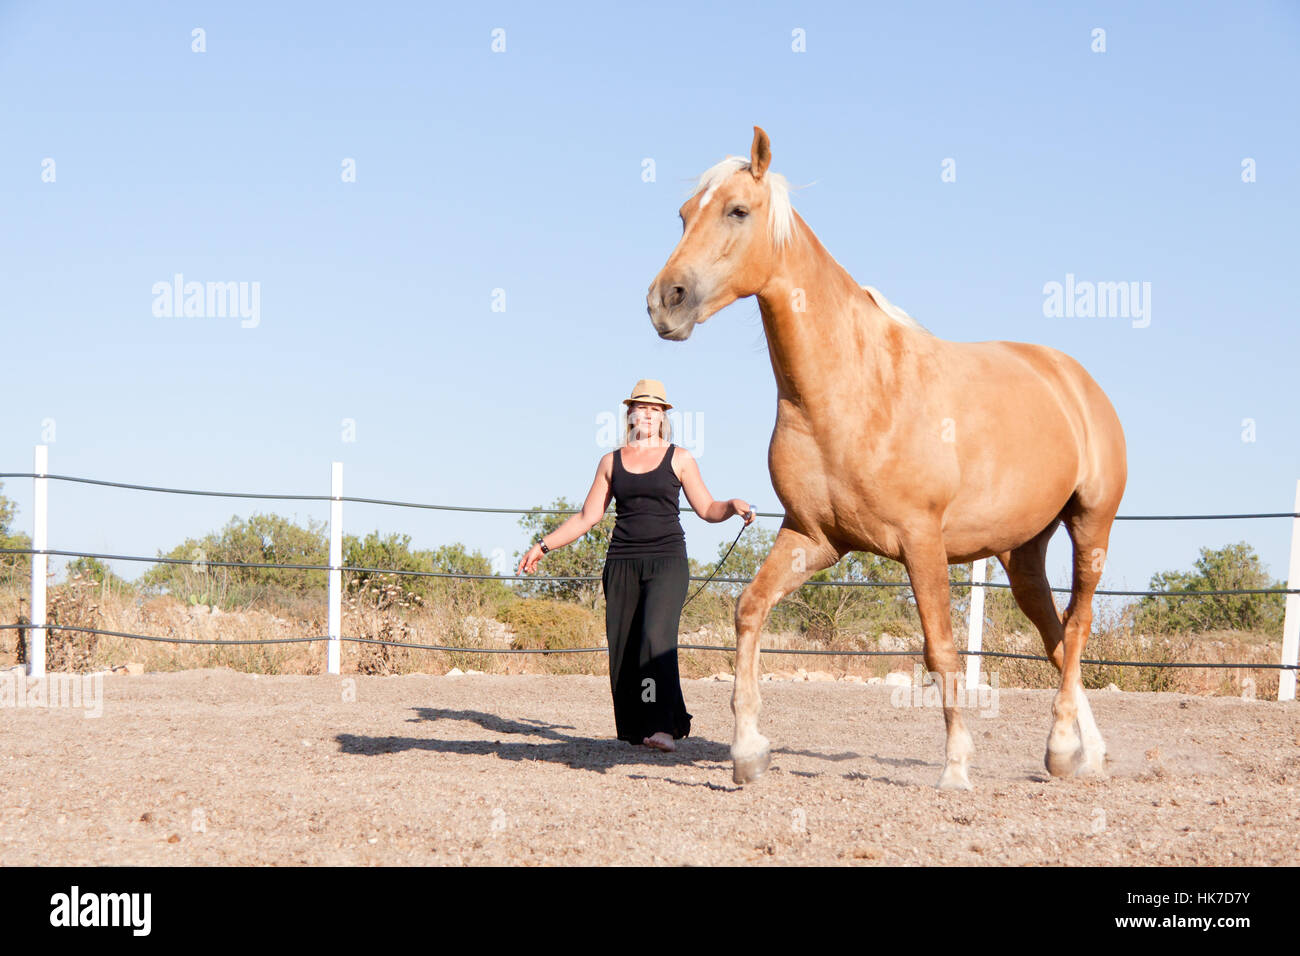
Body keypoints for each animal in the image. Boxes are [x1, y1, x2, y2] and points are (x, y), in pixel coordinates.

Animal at [647, 127, 1128, 790]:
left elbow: (940, 649)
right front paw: (747, 753)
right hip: (1022, 550)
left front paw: (956, 768)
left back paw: (1061, 748)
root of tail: (1075, 380)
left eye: (737, 211)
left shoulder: (922, 542)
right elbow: (749, 610)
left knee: (1077, 630)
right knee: (1056, 637)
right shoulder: (813, 537)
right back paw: (1088, 754)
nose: (664, 301)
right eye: (683, 214)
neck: (854, 389)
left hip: (1090, 527)